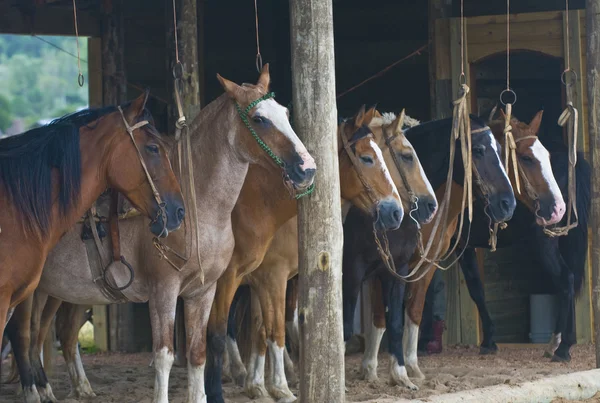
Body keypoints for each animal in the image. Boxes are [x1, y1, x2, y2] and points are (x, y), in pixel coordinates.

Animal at [364, 109, 564, 388]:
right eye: (526, 158)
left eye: (500, 150)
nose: (558, 208)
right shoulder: (388, 263)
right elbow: (382, 315)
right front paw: (373, 369)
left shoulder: (427, 262)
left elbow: (414, 309)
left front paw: (411, 367)